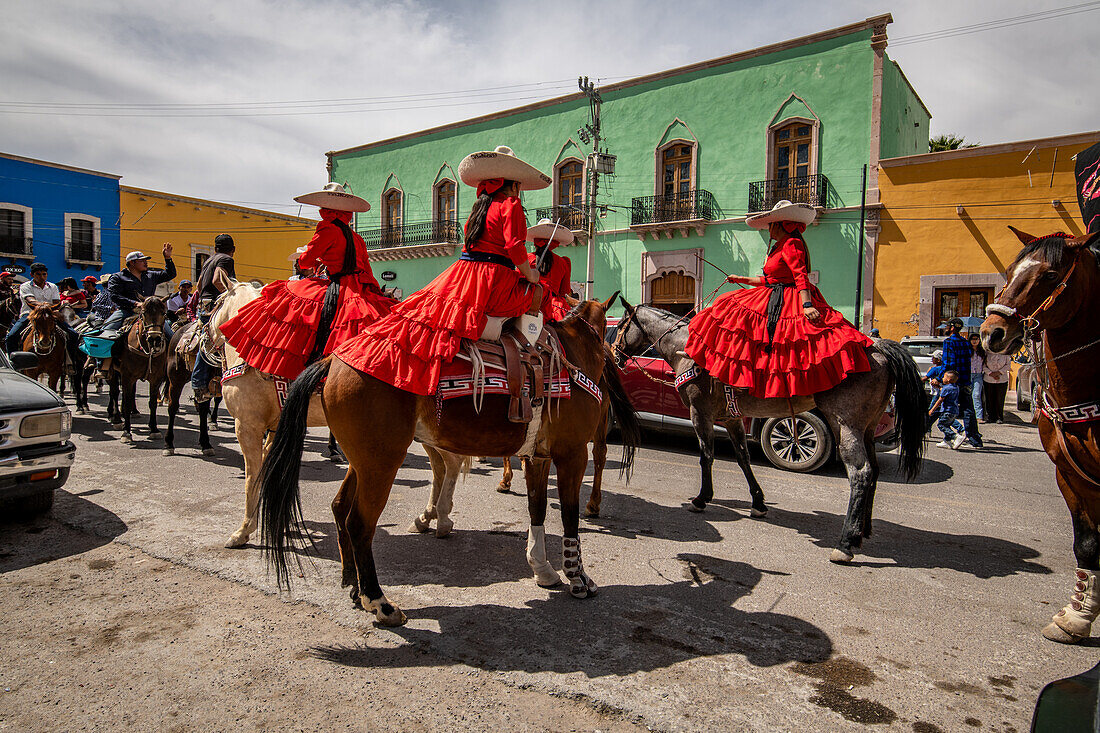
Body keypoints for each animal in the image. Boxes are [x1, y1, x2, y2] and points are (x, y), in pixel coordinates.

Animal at [106, 294, 169, 442]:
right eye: (144, 313)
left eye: (163, 313)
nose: (154, 338)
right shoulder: (127, 376)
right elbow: (126, 400)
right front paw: (126, 432)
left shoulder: (155, 378)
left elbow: (152, 403)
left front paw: (154, 429)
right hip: (114, 372)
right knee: (114, 392)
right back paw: (116, 418)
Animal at [257, 297, 642, 620]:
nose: (620, 360)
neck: (572, 356)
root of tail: (334, 359)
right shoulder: (573, 455)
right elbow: (570, 517)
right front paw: (578, 578)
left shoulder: (538, 457)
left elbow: (537, 509)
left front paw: (543, 569)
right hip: (382, 464)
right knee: (359, 524)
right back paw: (379, 601)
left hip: (363, 462)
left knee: (339, 507)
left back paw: (354, 585)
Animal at [611, 299, 928, 559]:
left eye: (622, 327)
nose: (613, 354)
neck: (686, 349)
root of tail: (878, 347)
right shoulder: (731, 417)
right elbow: (743, 458)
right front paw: (758, 502)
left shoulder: (700, 412)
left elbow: (706, 456)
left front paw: (702, 499)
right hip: (867, 428)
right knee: (873, 471)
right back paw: (863, 530)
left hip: (845, 424)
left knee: (860, 473)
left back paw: (847, 542)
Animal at [981, 224, 1100, 638]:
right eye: (1009, 271)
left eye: (1050, 275)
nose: (992, 333)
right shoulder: (1069, 474)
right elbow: (1087, 544)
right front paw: (1076, 617)